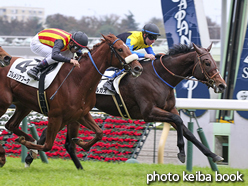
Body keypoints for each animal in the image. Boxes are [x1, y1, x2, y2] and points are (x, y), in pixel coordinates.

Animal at [0, 34, 142, 168]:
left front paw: (80, 142)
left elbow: (99, 133)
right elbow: (47, 146)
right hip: (4, 104)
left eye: (128, 47)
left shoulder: (80, 114)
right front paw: (26, 146)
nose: (138, 68)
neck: (77, 79)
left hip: (23, 105)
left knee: (10, 125)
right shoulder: (55, 116)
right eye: (120, 49)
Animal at [25, 42, 227, 169]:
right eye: (207, 62)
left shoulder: (168, 109)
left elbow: (188, 132)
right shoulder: (149, 113)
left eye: (212, 61)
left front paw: (214, 156)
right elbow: (178, 122)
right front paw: (182, 152)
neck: (160, 78)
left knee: (49, 132)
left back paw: (30, 156)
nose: (222, 85)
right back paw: (31, 155)